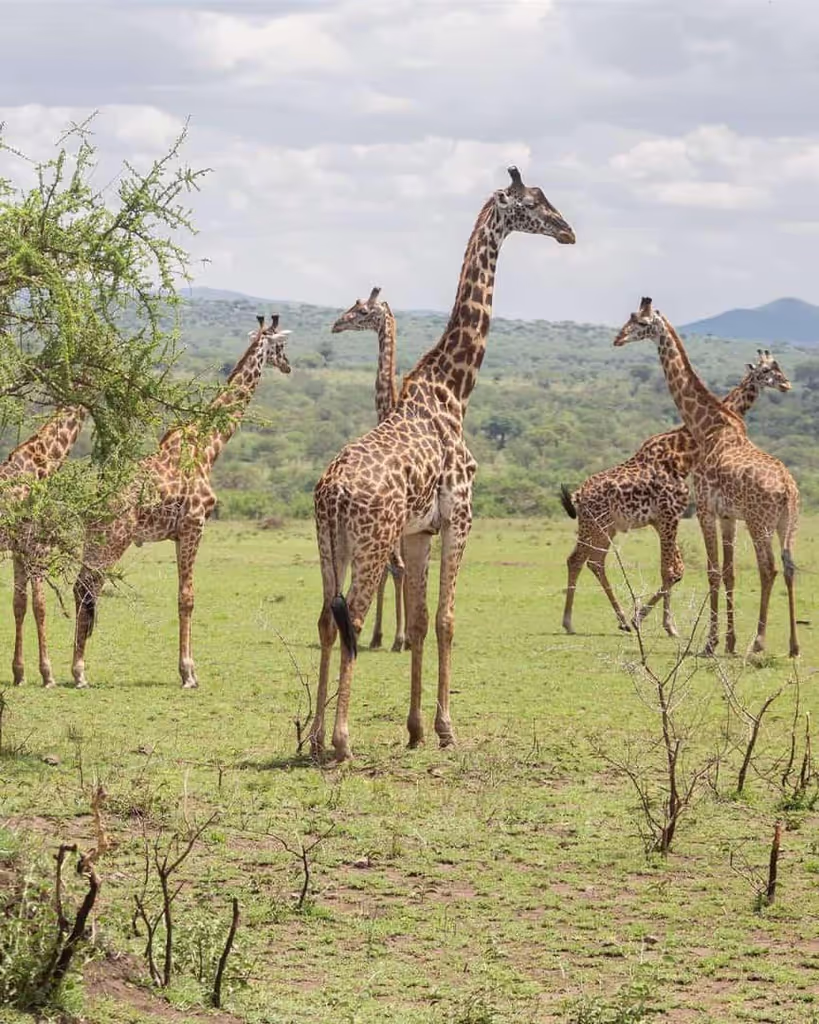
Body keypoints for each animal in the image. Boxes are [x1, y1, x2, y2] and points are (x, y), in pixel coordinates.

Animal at [0, 406, 88, 686]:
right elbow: (40, 606)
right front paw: (47, 673)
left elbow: (19, 604)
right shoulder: (36, 546)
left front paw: (19, 673)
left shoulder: (19, 550)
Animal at [71, 315, 292, 689]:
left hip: (95, 536)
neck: (209, 444)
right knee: (89, 587)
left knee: (80, 587)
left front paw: (186, 669)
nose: (289, 365)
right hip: (116, 536)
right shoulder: (194, 523)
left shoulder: (179, 533)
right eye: (281, 345)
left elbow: (182, 594)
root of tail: (93, 499)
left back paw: (74, 669)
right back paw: (79, 672)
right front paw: (189, 673)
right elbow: (187, 597)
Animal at [312, 167, 575, 761]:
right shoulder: (460, 517)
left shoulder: (418, 532)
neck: (455, 387)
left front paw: (414, 730)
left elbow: (420, 621)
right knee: (351, 617)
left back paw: (311, 737)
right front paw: (446, 729)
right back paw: (341, 741)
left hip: (330, 543)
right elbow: (448, 619)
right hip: (370, 540)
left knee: (324, 619)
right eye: (533, 203)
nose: (568, 231)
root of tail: (332, 491)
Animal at [560, 351, 792, 638]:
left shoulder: (662, 520)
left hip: (608, 527)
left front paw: (655, 622)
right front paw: (664, 624)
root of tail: (579, 494)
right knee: (577, 560)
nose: (785, 384)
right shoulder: (669, 516)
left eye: (778, 367)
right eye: (765, 371)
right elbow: (670, 570)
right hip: (594, 524)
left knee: (595, 561)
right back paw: (570, 622)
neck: (684, 452)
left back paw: (621, 620)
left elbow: (675, 570)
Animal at [614, 298, 799, 657]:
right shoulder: (728, 515)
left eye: (641, 322)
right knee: (788, 567)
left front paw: (712, 642)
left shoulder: (705, 508)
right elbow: (728, 573)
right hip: (787, 523)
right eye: (631, 317)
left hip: (759, 522)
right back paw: (793, 646)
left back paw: (758, 642)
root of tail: (787, 487)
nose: (618, 338)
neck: (709, 425)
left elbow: (713, 571)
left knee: (767, 568)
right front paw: (728, 640)